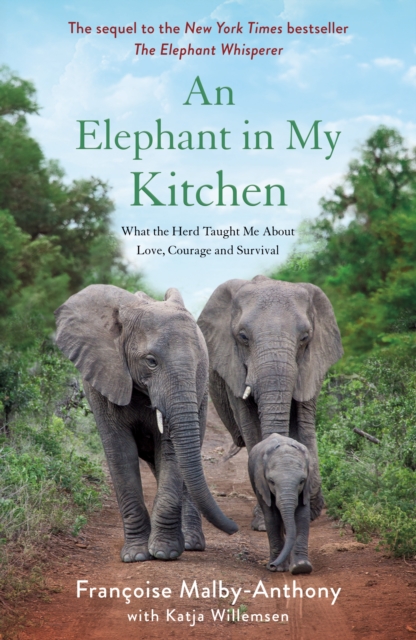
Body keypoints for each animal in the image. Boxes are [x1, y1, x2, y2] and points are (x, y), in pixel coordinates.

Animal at [54, 284, 238, 563]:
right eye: (151, 361)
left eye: (199, 364)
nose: (235, 529)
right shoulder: (101, 378)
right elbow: (120, 454)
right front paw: (136, 556)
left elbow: (171, 452)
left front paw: (164, 552)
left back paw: (191, 544)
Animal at [197, 275, 343, 528]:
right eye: (243, 337)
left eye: (305, 337)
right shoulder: (234, 370)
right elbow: (251, 427)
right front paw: (264, 523)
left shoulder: (311, 364)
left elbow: (305, 426)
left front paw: (310, 510)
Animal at [248, 433, 312, 574]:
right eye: (271, 481)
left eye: (302, 481)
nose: (272, 565)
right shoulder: (262, 484)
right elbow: (272, 517)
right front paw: (278, 568)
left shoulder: (306, 488)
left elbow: (302, 516)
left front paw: (301, 567)